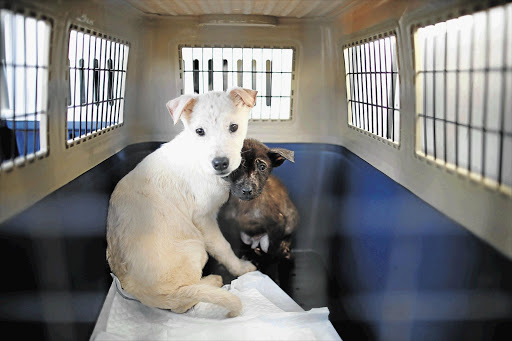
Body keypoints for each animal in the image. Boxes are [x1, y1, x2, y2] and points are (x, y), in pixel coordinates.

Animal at [108, 87, 260, 316]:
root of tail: (142, 294)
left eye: (234, 127)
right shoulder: (203, 219)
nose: (220, 163)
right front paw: (240, 268)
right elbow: (223, 247)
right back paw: (212, 281)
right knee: (184, 302)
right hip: (196, 247)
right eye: (199, 131)